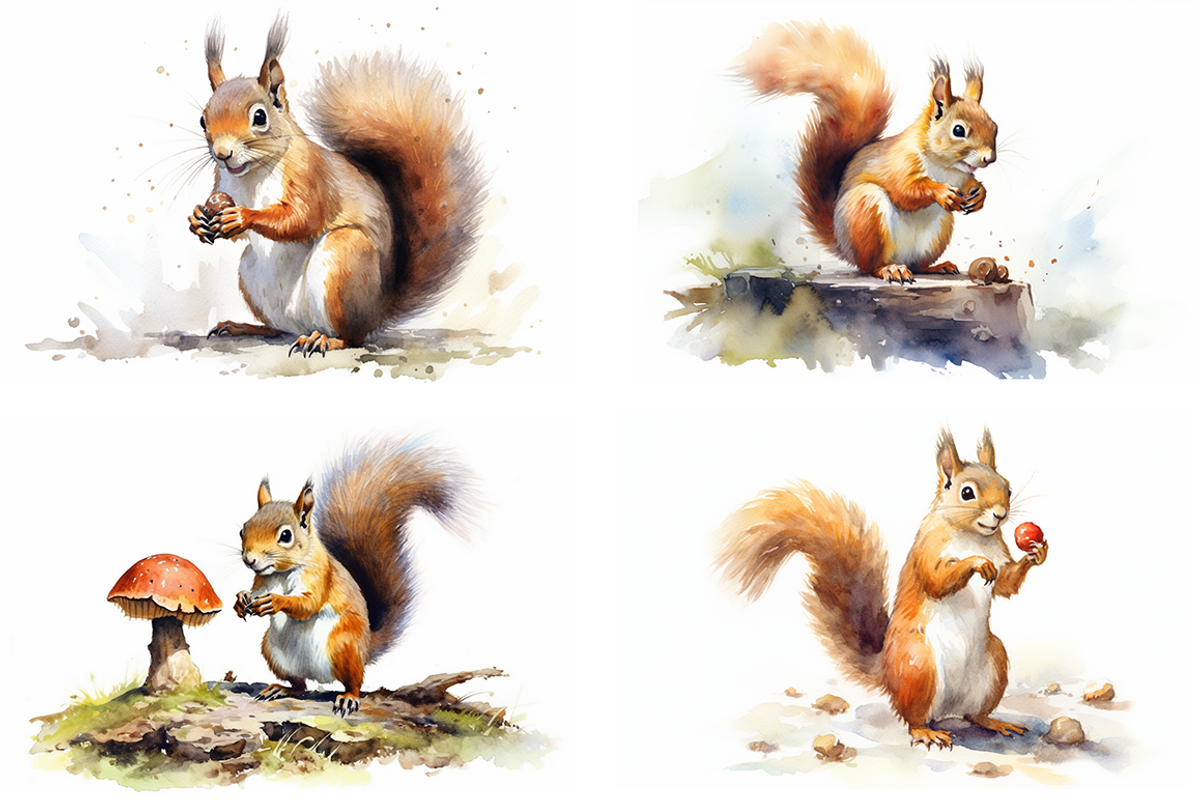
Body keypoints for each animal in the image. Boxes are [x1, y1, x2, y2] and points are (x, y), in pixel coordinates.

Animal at [188, 14, 485, 356]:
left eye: (260, 117)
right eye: (203, 120)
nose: (223, 154)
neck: (252, 173)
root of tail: (378, 311)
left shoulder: (311, 177)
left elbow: (302, 218)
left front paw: (243, 216)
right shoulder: (224, 184)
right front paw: (197, 218)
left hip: (344, 259)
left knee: (352, 337)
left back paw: (324, 340)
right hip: (251, 273)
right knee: (279, 328)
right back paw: (244, 327)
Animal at [233, 436, 475, 715]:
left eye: (286, 535)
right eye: (243, 529)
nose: (249, 560)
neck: (281, 573)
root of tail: (365, 647)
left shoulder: (321, 575)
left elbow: (308, 604)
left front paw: (276, 601)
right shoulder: (263, 581)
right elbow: (255, 592)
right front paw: (241, 599)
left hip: (343, 644)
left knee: (355, 681)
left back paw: (348, 697)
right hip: (272, 650)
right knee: (300, 685)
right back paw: (281, 689)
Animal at [713, 428, 1047, 749]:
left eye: (1008, 487)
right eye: (967, 493)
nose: (1000, 514)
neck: (974, 536)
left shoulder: (1000, 554)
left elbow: (1005, 584)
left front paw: (1037, 554)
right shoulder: (929, 549)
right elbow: (937, 580)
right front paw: (976, 563)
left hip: (995, 662)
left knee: (974, 714)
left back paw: (995, 722)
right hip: (918, 666)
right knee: (914, 718)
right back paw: (927, 732)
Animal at [736, 21, 998, 284]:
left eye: (994, 126)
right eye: (958, 130)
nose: (989, 158)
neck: (946, 168)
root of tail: (844, 246)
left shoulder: (960, 177)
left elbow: (969, 184)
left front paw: (979, 194)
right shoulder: (899, 163)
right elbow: (906, 190)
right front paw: (941, 192)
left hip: (939, 230)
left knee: (919, 264)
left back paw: (937, 266)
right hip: (866, 210)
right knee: (870, 265)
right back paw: (890, 269)